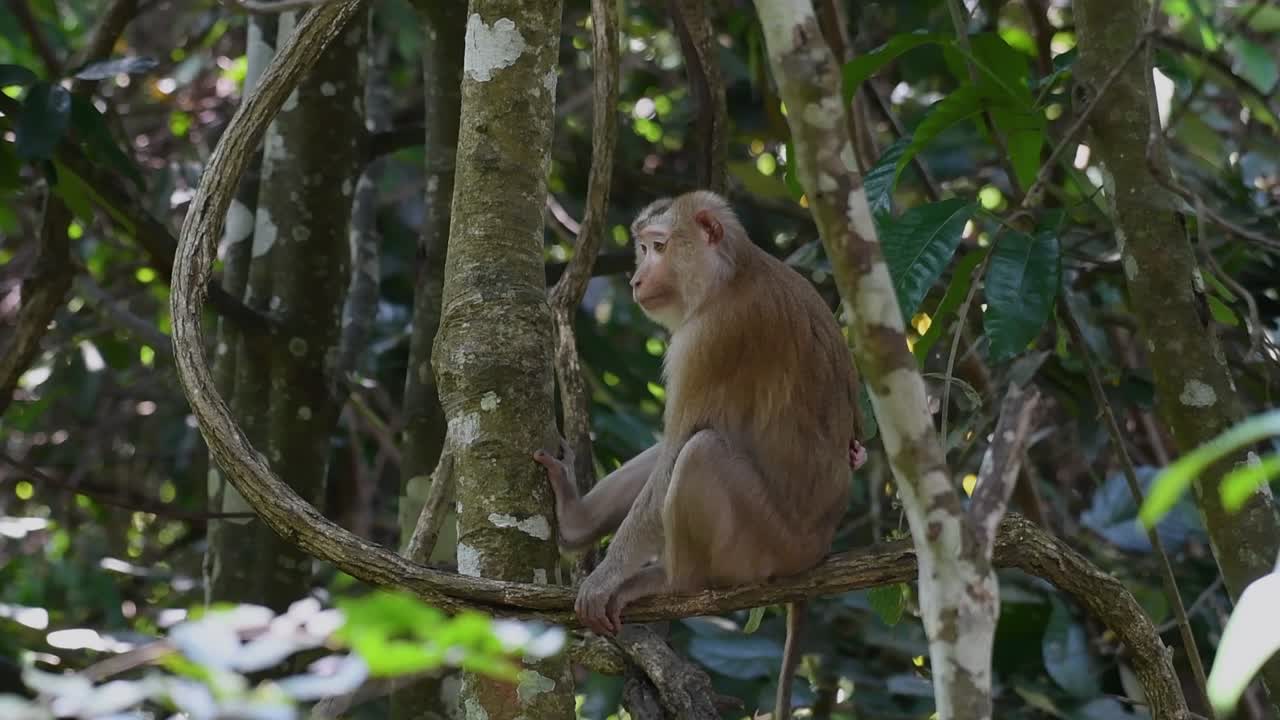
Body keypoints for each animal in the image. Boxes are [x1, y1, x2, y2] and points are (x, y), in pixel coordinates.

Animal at [534, 190, 866, 720]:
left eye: (658, 246)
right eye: (642, 249)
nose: (636, 279)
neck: (732, 273)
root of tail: (818, 549)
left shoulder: (710, 339)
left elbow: (678, 448)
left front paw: (606, 578)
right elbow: (666, 454)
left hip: (765, 546)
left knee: (698, 452)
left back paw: (673, 581)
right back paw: (574, 520)